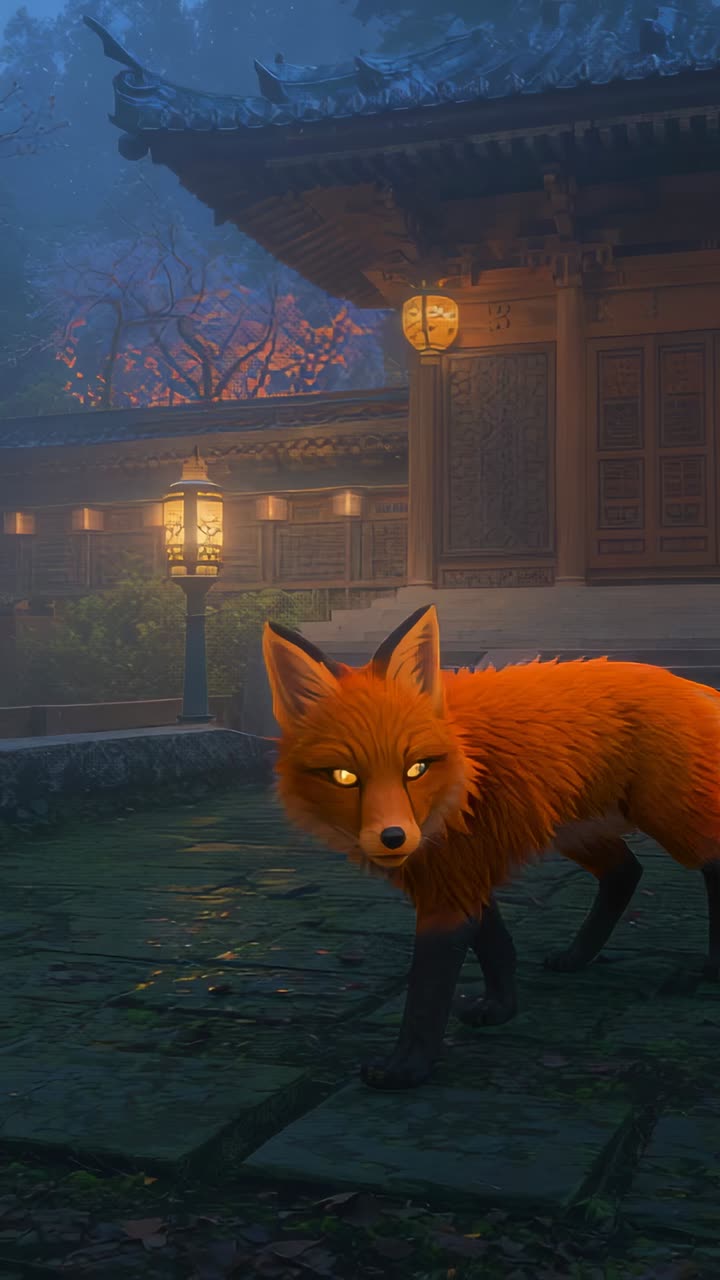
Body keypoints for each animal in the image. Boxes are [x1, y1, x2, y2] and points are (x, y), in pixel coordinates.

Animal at [262, 604, 720, 1091]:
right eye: (345, 777)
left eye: (416, 768)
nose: (394, 837)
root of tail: (689, 683)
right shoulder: (458, 871)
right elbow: (496, 945)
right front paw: (501, 1010)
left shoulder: (451, 883)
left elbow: (428, 989)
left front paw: (407, 1068)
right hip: (574, 829)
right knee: (625, 872)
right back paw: (577, 957)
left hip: (670, 818)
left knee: (707, 863)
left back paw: (713, 965)